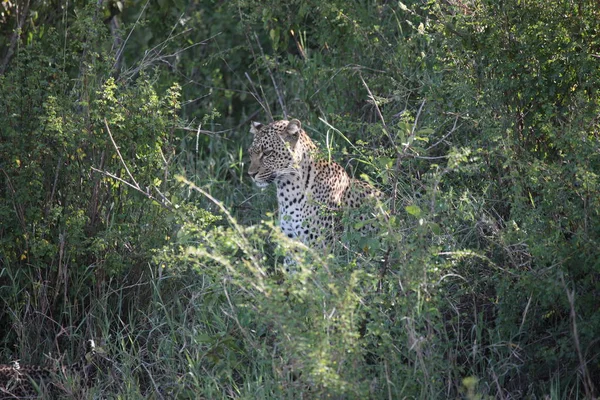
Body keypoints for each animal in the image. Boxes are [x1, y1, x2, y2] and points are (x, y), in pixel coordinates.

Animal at [247, 117, 380, 253]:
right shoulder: (292, 243)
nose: (251, 174)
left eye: (267, 152)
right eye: (250, 153)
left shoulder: (321, 246)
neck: (286, 189)